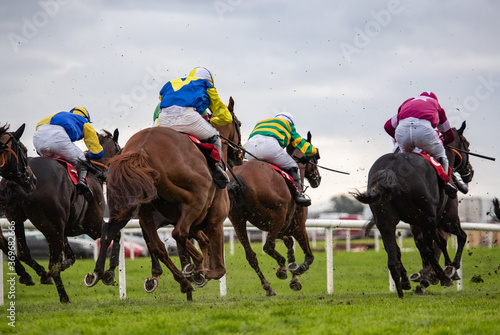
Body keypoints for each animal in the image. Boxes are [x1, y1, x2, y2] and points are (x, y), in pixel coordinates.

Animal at [0, 130, 121, 304]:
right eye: (120, 151)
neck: (93, 172)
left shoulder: (64, 230)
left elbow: (71, 256)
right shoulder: (92, 226)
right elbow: (114, 234)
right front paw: (107, 274)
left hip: (19, 219)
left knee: (24, 253)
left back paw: (36, 275)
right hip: (51, 226)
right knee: (52, 265)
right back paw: (64, 297)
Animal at [85, 97, 245, 300]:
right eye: (238, 123)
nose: (240, 155)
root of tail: (141, 149)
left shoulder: (187, 220)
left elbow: (198, 242)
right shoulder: (214, 221)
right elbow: (218, 267)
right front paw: (199, 271)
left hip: (141, 208)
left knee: (146, 241)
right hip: (194, 198)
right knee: (177, 234)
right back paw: (193, 270)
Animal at [227, 133, 320, 298]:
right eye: (315, 157)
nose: (318, 178)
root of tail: (236, 179)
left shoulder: (278, 228)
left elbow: (289, 242)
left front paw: (293, 273)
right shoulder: (297, 226)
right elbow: (309, 256)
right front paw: (297, 271)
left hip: (238, 221)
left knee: (251, 255)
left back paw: (268, 286)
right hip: (278, 215)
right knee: (268, 246)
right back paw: (281, 268)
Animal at [352, 122, 472, 298]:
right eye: (466, 144)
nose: (469, 172)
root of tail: (389, 172)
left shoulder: (424, 222)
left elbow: (439, 242)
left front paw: (435, 272)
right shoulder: (445, 218)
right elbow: (459, 237)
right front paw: (451, 268)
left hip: (385, 221)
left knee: (393, 254)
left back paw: (402, 288)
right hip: (430, 218)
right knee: (429, 249)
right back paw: (442, 278)